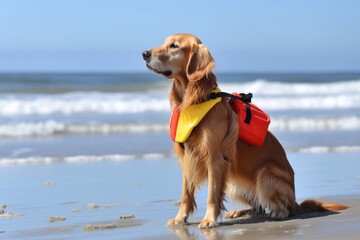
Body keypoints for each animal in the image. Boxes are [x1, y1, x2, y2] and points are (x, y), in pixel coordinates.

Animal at [141, 33, 348, 229]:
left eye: (174, 46)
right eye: (164, 42)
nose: (144, 53)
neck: (194, 98)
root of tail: (296, 201)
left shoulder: (215, 158)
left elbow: (212, 195)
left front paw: (209, 220)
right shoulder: (187, 156)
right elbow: (186, 193)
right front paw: (180, 218)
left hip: (265, 173)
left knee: (282, 208)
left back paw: (277, 213)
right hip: (235, 181)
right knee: (258, 206)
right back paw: (239, 212)